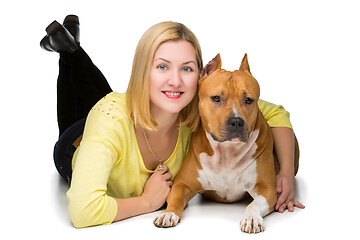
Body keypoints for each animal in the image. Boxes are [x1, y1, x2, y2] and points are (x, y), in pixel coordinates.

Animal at [153, 54, 278, 232]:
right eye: (216, 98)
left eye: (248, 100)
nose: (236, 122)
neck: (226, 152)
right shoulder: (182, 183)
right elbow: (175, 197)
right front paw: (168, 213)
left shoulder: (267, 190)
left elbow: (254, 204)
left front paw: (252, 218)